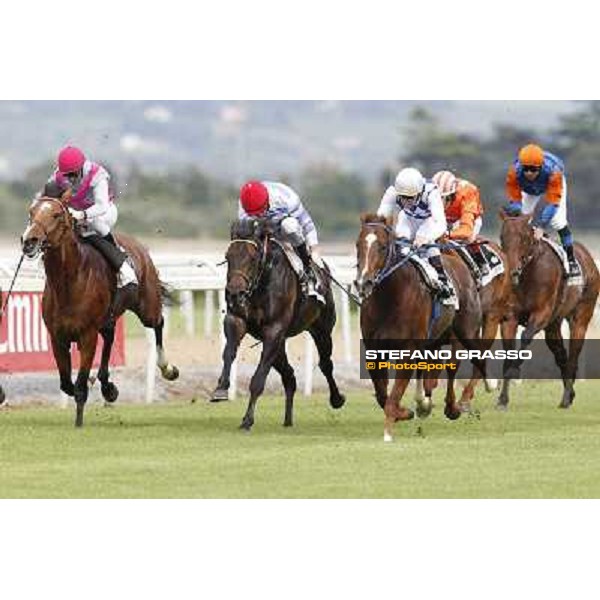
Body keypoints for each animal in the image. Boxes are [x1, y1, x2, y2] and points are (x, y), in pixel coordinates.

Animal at [21, 197, 180, 426]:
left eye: (56, 215)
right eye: (31, 213)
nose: (29, 241)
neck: (69, 283)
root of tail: (140, 247)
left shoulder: (87, 335)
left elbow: (79, 386)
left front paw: (79, 423)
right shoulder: (57, 337)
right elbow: (66, 383)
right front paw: (101, 386)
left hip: (147, 306)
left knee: (158, 323)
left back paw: (167, 368)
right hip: (108, 318)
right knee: (110, 337)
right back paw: (107, 386)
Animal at [211, 220, 344, 432]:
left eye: (252, 257)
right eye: (228, 256)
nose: (234, 293)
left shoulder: (274, 330)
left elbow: (258, 379)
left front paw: (247, 420)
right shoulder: (237, 320)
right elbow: (228, 352)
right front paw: (221, 388)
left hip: (321, 329)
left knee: (325, 364)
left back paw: (337, 399)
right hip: (280, 343)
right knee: (289, 375)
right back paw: (288, 419)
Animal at [354, 214, 486, 440]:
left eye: (382, 246)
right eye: (357, 244)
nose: (364, 282)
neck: (389, 299)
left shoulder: (408, 348)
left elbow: (393, 395)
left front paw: (391, 427)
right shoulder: (374, 349)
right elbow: (382, 395)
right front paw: (405, 412)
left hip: (465, 332)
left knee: (465, 363)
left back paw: (459, 404)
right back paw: (424, 403)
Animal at [496, 213, 600, 410]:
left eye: (524, 237)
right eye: (502, 238)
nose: (512, 272)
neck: (529, 272)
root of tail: (587, 255)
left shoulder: (541, 314)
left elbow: (525, 338)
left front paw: (514, 371)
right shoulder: (510, 318)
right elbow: (508, 351)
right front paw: (502, 399)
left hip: (581, 318)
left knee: (572, 357)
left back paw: (566, 398)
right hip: (553, 325)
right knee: (561, 355)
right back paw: (570, 394)